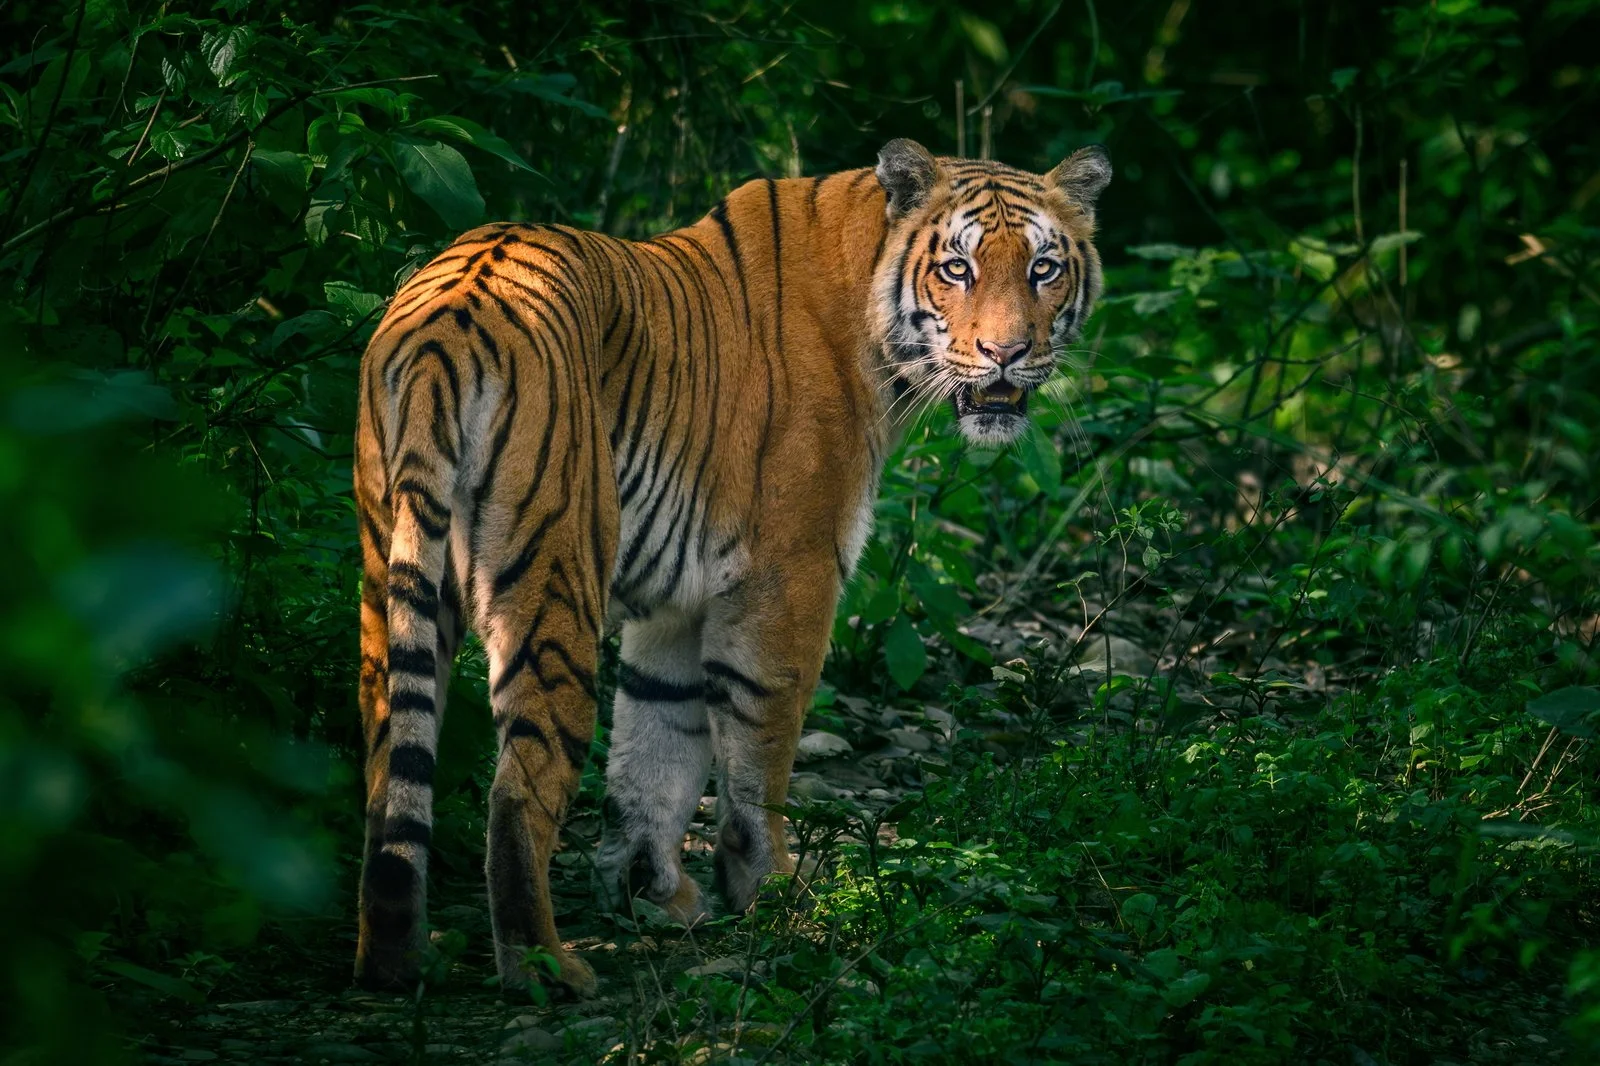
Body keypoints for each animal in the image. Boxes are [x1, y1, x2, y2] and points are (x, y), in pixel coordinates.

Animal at [353, 137, 1111, 995]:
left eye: (1044, 269)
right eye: (958, 268)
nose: (1007, 355)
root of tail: (450, 317)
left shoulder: (677, 604)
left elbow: (656, 746)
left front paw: (650, 889)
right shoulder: (789, 574)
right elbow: (758, 748)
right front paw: (772, 889)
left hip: (391, 579)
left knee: (388, 769)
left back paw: (395, 958)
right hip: (554, 585)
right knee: (516, 791)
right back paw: (545, 967)